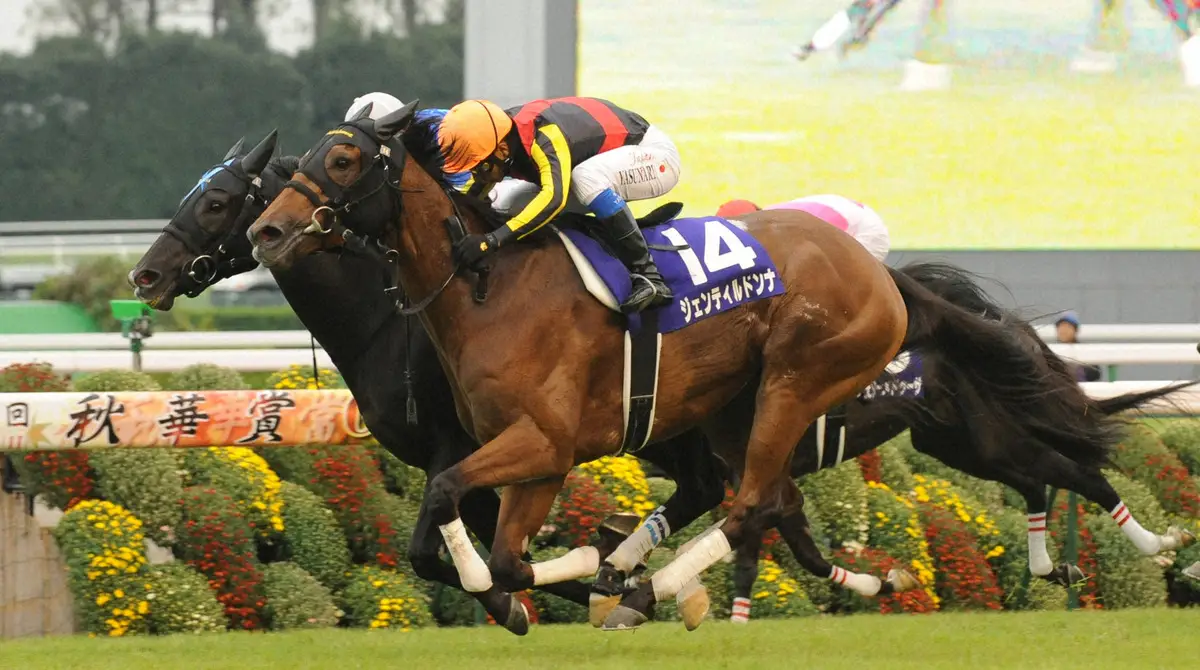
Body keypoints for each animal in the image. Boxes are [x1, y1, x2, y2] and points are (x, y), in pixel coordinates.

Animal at [243, 103, 1077, 630]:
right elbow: (505, 560)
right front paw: (573, 572)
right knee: (765, 500)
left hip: (798, 379)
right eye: (303, 161)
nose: (267, 231)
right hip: (740, 408)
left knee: (751, 505)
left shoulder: (539, 442)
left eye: (343, 158)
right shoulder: (537, 459)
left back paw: (668, 586)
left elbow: (453, 498)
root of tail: (879, 273)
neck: (486, 289)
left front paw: (598, 570)